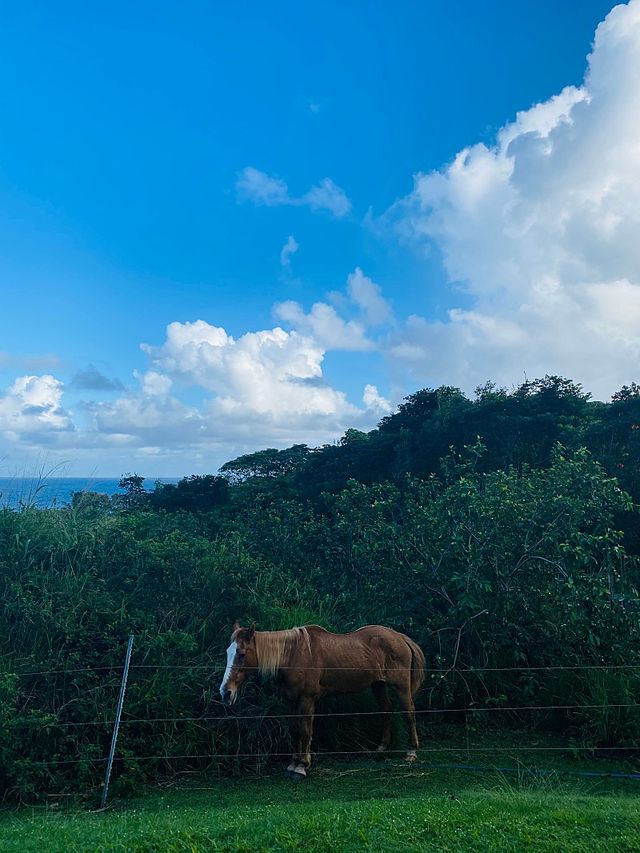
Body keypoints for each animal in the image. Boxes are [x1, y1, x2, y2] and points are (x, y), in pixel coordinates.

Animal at [220, 624, 424, 776]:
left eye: (242, 654)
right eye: (228, 652)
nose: (225, 692)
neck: (292, 655)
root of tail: (399, 637)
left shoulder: (307, 700)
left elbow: (305, 731)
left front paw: (302, 766)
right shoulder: (290, 701)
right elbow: (294, 731)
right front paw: (293, 764)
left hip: (401, 686)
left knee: (409, 712)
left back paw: (411, 752)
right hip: (378, 684)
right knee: (386, 710)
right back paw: (381, 748)